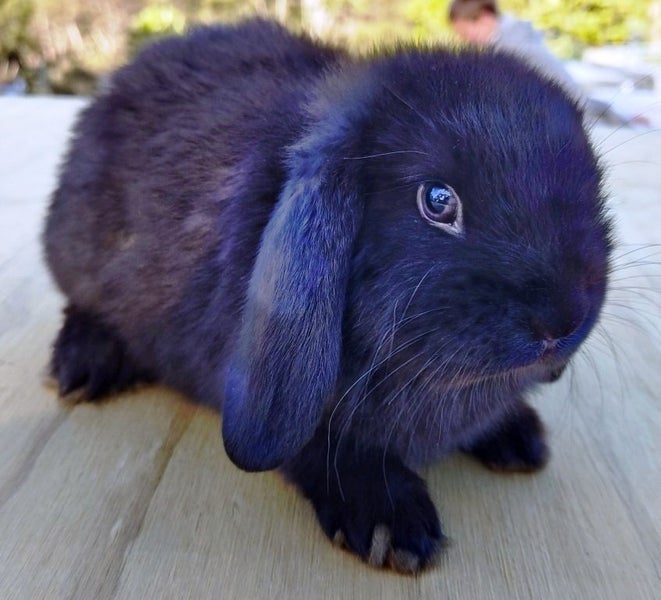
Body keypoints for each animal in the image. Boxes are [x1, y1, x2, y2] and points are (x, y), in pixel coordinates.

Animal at [43, 18, 613, 573]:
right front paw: (392, 526)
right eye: (437, 201)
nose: (561, 321)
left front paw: (519, 436)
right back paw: (83, 365)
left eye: (595, 191)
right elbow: (325, 447)